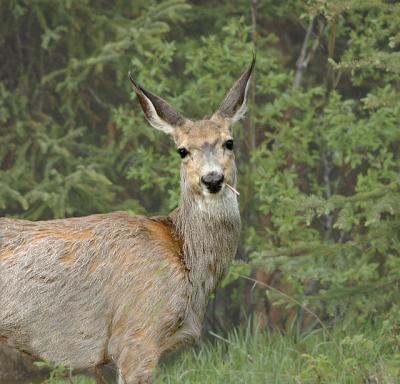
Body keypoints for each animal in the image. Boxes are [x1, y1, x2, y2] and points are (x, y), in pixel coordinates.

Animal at [0, 57, 256, 384]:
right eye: (182, 150)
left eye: (229, 142)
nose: (213, 179)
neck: (186, 258)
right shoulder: (137, 332)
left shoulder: (109, 359)